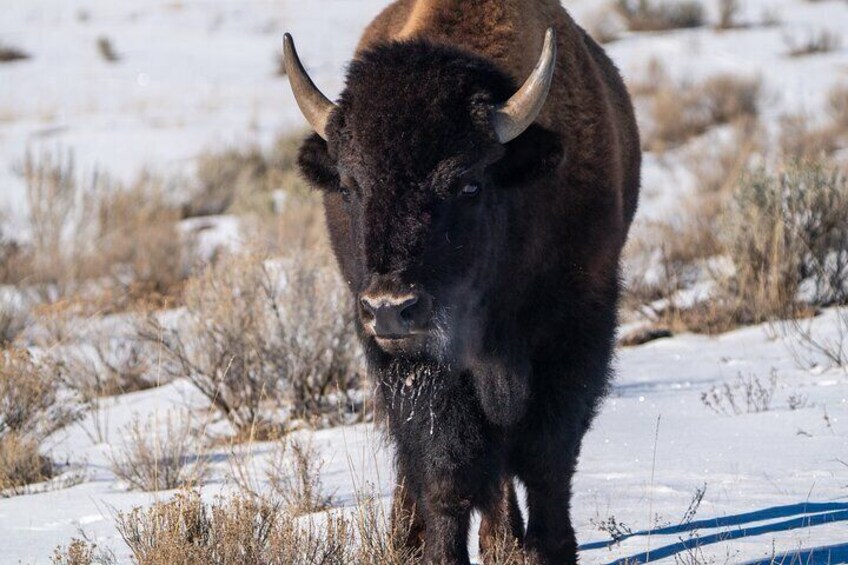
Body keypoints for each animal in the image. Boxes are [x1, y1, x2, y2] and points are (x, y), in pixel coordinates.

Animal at [282, 2, 640, 560]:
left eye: (468, 183)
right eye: (348, 185)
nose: (390, 307)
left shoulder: (578, 327)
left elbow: (547, 458)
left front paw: (551, 549)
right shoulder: (424, 366)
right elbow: (446, 470)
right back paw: (415, 539)